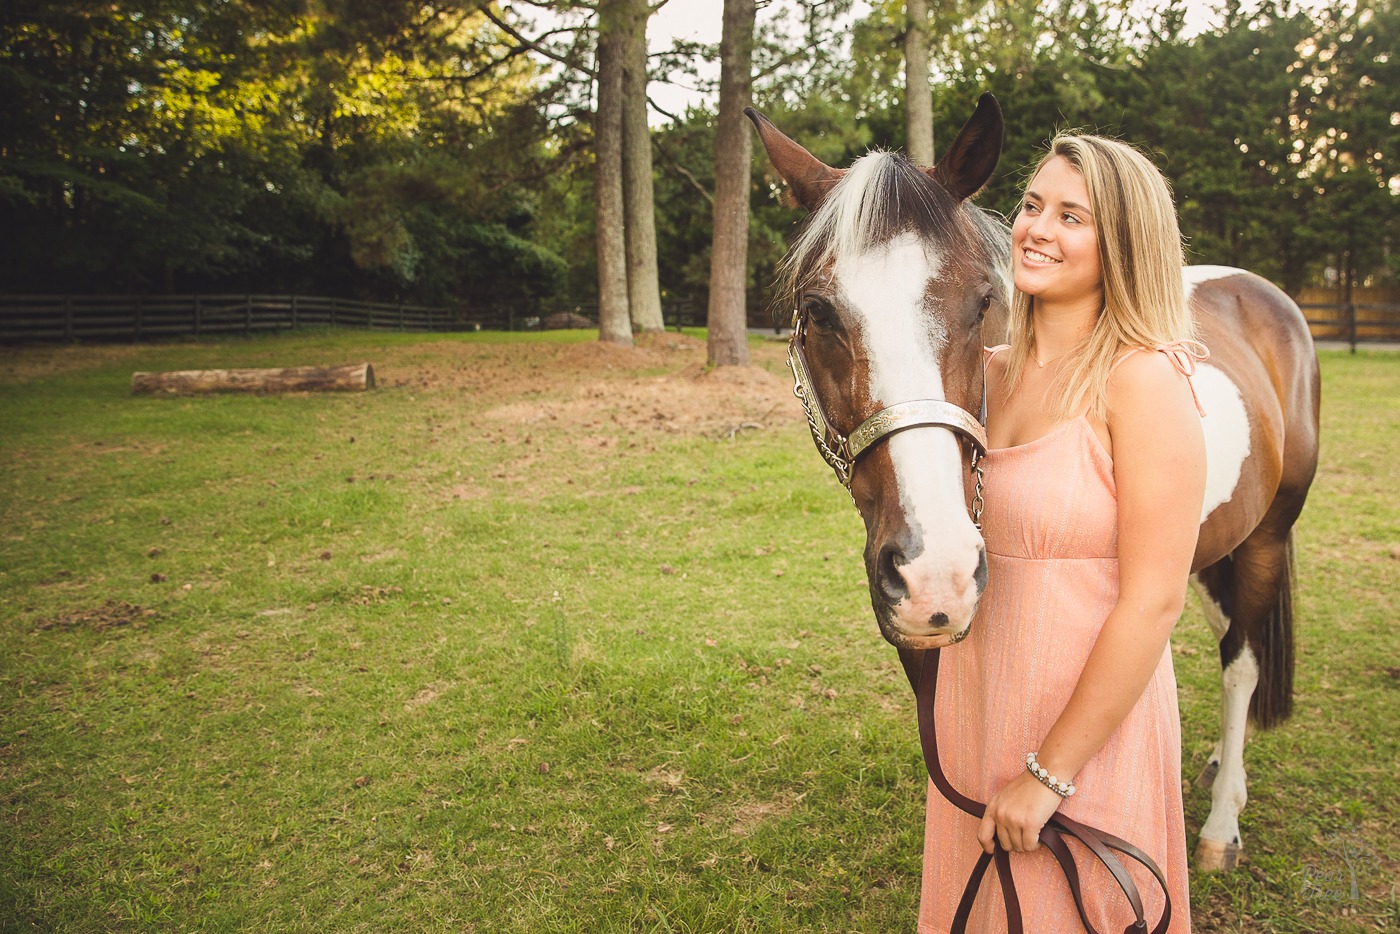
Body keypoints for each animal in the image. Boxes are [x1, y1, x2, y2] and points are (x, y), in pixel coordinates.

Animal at [750, 96, 1316, 884]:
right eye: (819, 313)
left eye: (983, 301)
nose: (936, 574)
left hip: (1268, 534)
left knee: (1242, 662)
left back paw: (1221, 822)